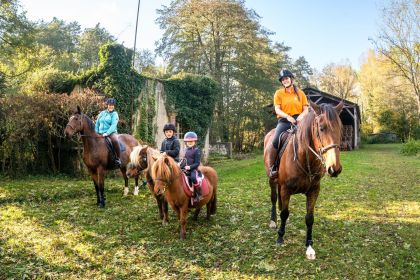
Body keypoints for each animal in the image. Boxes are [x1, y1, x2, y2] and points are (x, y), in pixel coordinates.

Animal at [264, 101, 342, 260]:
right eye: (321, 128)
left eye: (340, 128)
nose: (334, 168)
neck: (304, 159)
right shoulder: (286, 188)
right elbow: (284, 213)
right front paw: (280, 237)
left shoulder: (314, 190)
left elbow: (309, 218)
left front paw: (309, 246)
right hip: (272, 180)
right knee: (274, 198)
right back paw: (273, 221)